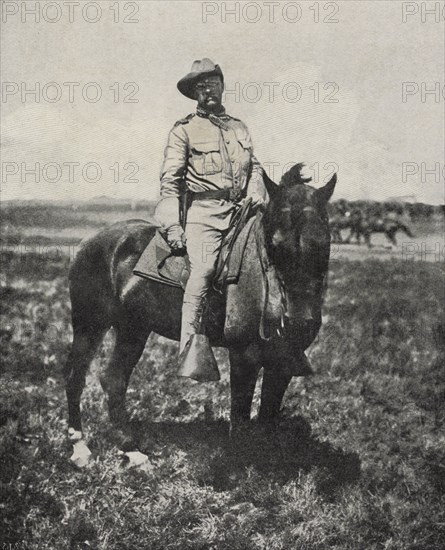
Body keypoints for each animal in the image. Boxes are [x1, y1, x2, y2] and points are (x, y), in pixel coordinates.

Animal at [64, 166, 334, 446]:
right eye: (274, 245)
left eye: (323, 242)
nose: (299, 321)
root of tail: (88, 242)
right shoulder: (243, 356)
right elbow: (240, 420)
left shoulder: (282, 363)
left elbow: (267, 418)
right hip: (89, 326)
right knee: (76, 376)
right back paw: (78, 442)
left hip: (133, 329)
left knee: (114, 379)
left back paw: (129, 445)